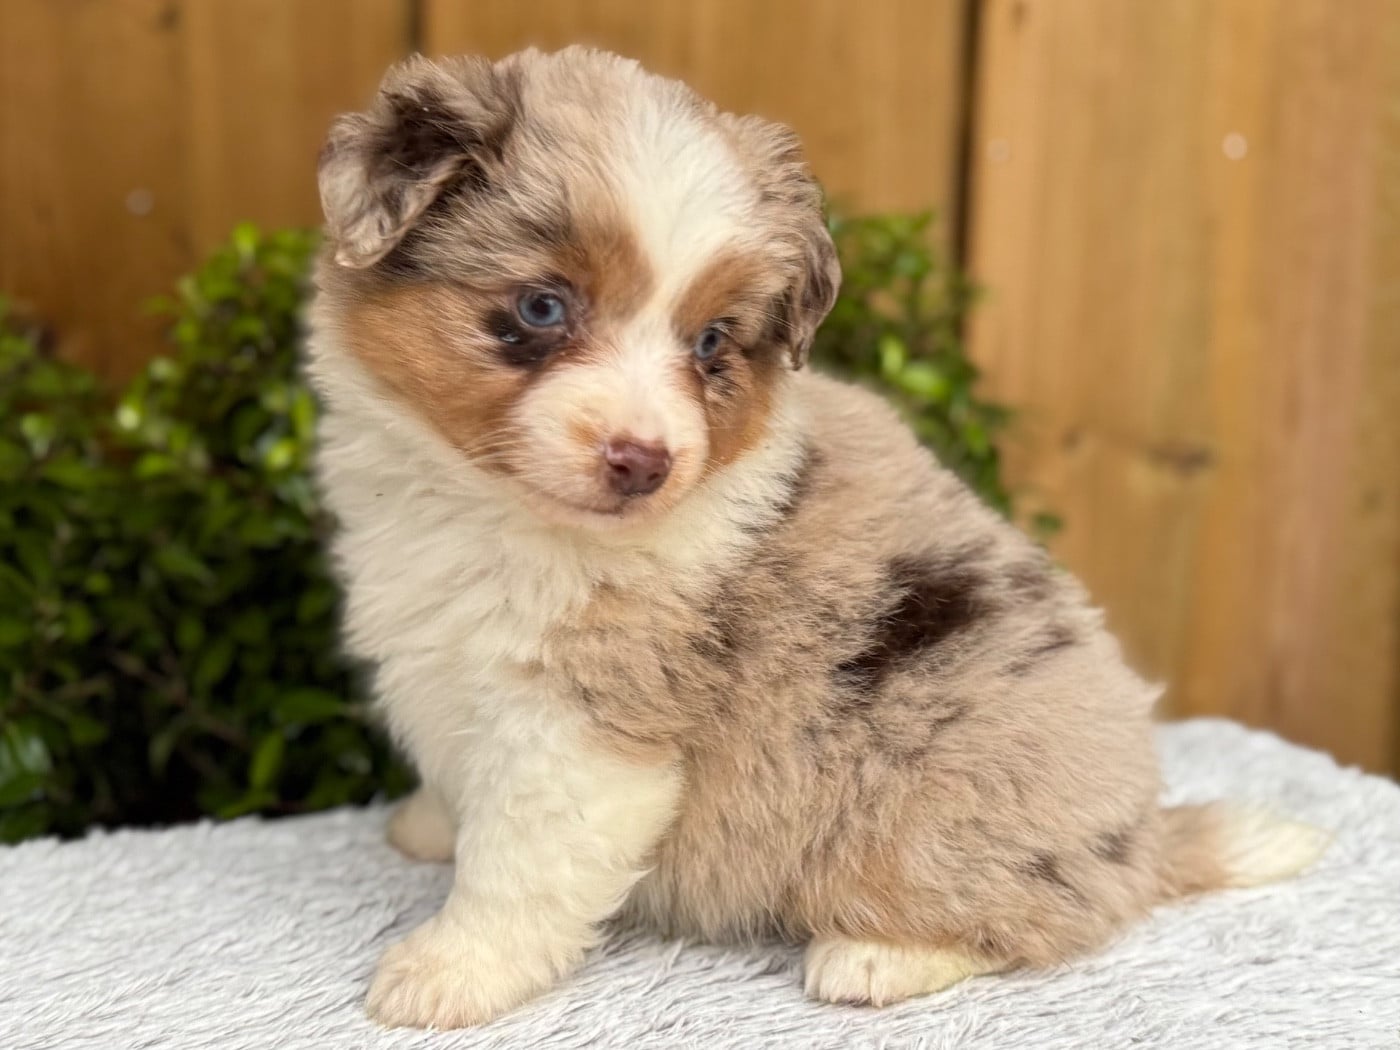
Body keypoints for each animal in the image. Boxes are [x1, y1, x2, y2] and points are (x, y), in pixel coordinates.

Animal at [305, 47, 1328, 1029]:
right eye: (542, 308)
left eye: (711, 342)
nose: (645, 462)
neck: (486, 509)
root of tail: (1142, 832)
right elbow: (464, 790)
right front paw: (428, 826)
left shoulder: (587, 728)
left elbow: (520, 865)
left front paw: (451, 972)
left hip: (929, 799)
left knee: (1046, 914)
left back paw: (877, 956)